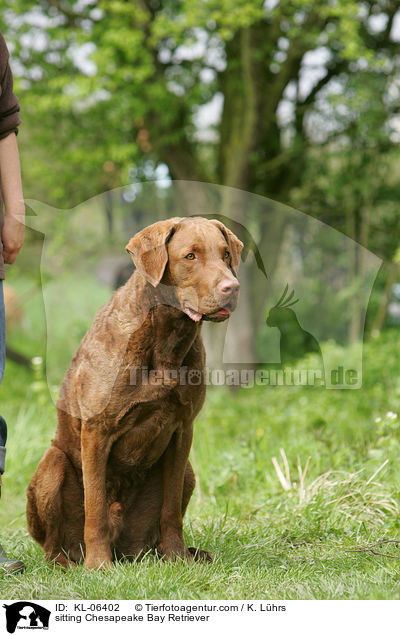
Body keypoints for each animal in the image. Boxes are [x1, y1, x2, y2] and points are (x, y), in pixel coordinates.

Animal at [27, 216, 244, 568]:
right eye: (190, 256)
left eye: (226, 254)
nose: (232, 288)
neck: (166, 339)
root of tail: (126, 552)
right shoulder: (96, 431)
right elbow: (95, 508)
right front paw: (98, 566)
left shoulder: (183, 428)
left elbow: (170, 511)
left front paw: (177, 557)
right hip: (53, 463)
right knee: (53, 544)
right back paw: (70, 563)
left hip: (188, 472)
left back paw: (188, 553)